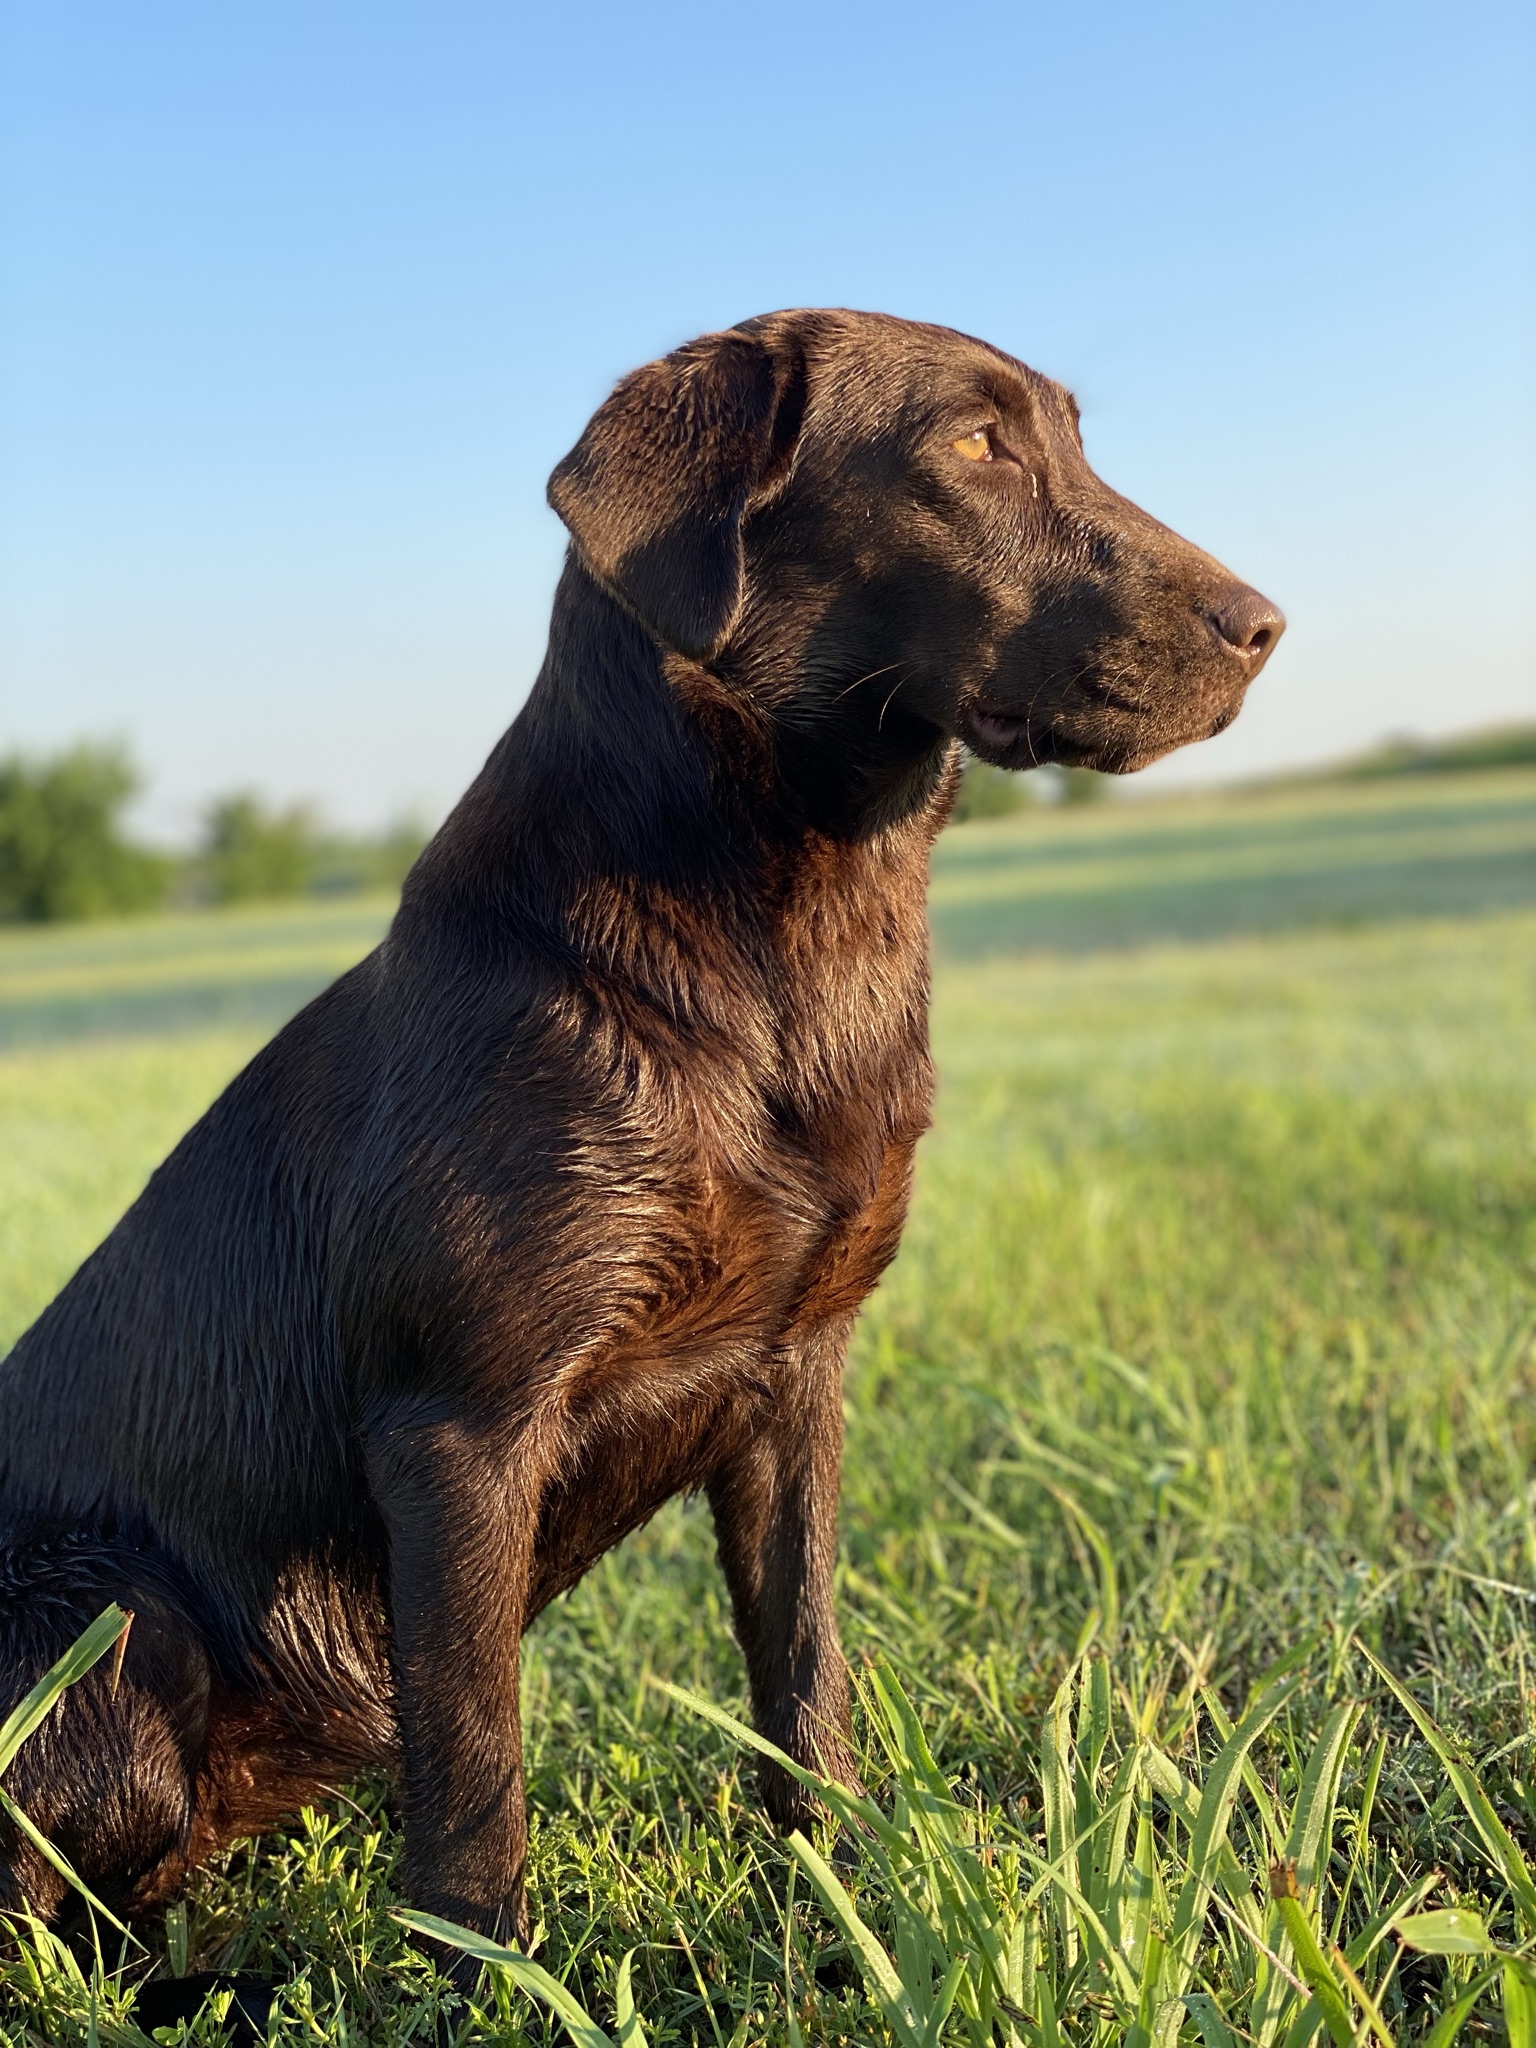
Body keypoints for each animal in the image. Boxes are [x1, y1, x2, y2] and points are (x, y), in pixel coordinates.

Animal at [0, 311, 1286, 1941]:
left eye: (1068, 435)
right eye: (972, 445)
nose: (1266, 625)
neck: (785, 955)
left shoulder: (799, 1372)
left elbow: (804, 1669)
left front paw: (845, 1889)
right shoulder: (460, 1427)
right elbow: (476, 1766)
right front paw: (489, 1969)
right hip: (114, 1607)